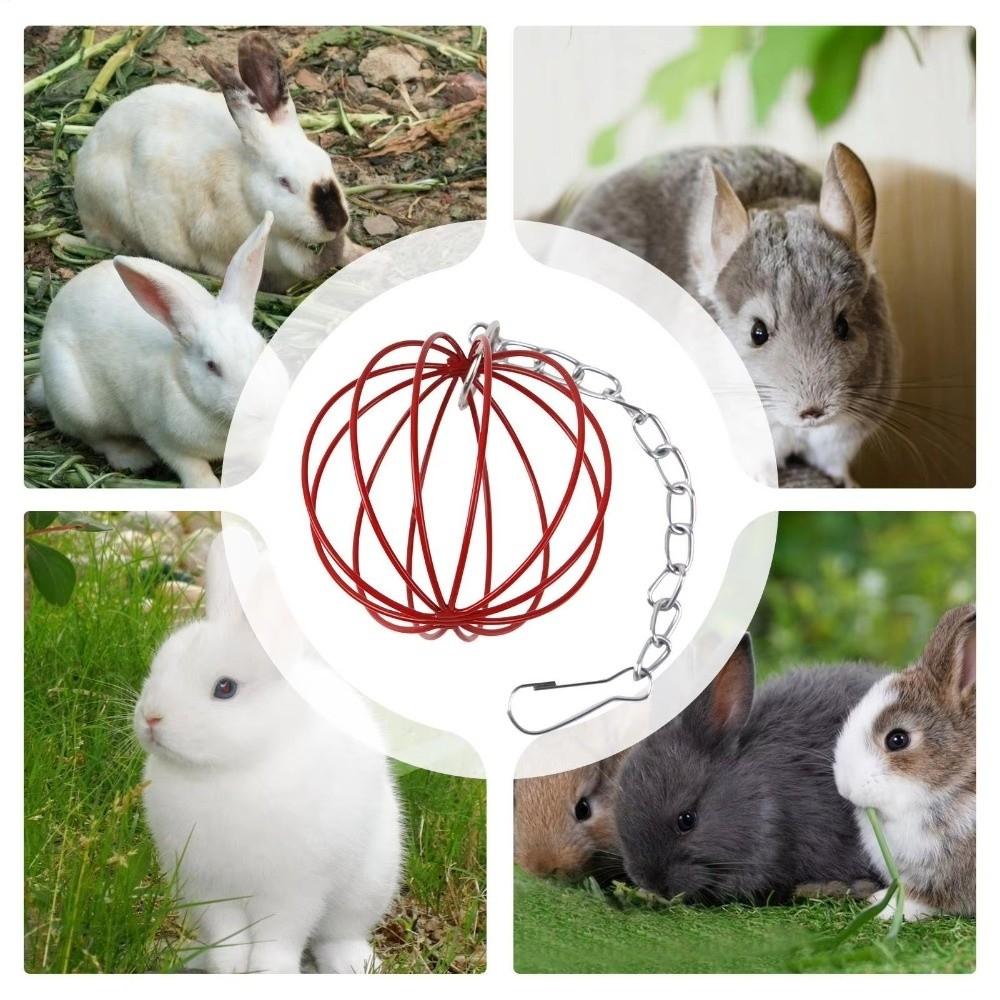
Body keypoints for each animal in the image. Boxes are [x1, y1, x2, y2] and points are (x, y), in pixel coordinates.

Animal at [27, 213, 287, 488]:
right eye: (211, 366)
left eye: (261, 347)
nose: (261, 408)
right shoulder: (165, 440)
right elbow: (193, 468)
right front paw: (208, 486)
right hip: (77, 403)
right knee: (97, 439)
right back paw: (133, 456)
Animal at [133, 529, 402, 973]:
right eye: (159, 666)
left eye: (225, 688)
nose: (152, 718)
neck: (228, 770)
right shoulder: (206, 888)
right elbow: (228, 938)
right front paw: (228, 969)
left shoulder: (294, 889)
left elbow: (278, 937)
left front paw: (269, 972)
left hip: (368, 885)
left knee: (337, 934)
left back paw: (353, 964)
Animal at [565, 144, 902, 485]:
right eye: (757, 332)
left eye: (843, 326)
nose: (812, 412)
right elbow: (759, 465)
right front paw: (766, 481)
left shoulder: (843, 438)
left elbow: (834, 465)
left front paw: (847, 483)